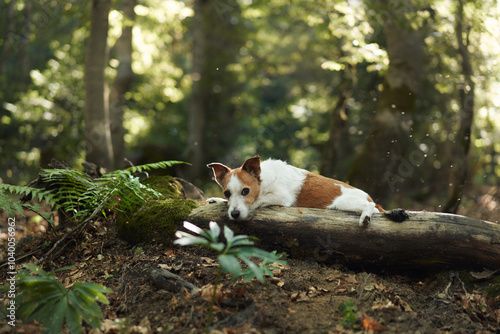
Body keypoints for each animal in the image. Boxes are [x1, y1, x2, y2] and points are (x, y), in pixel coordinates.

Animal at [207, 155, 406, 226]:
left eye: (246, 191)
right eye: (227, 193)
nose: (234, 214)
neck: (264, 181)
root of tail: (369, 196)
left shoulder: (281, 197)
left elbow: (259, 200)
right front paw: (217, 200)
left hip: (344, 202)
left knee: (369, 206)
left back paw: (365, 217)